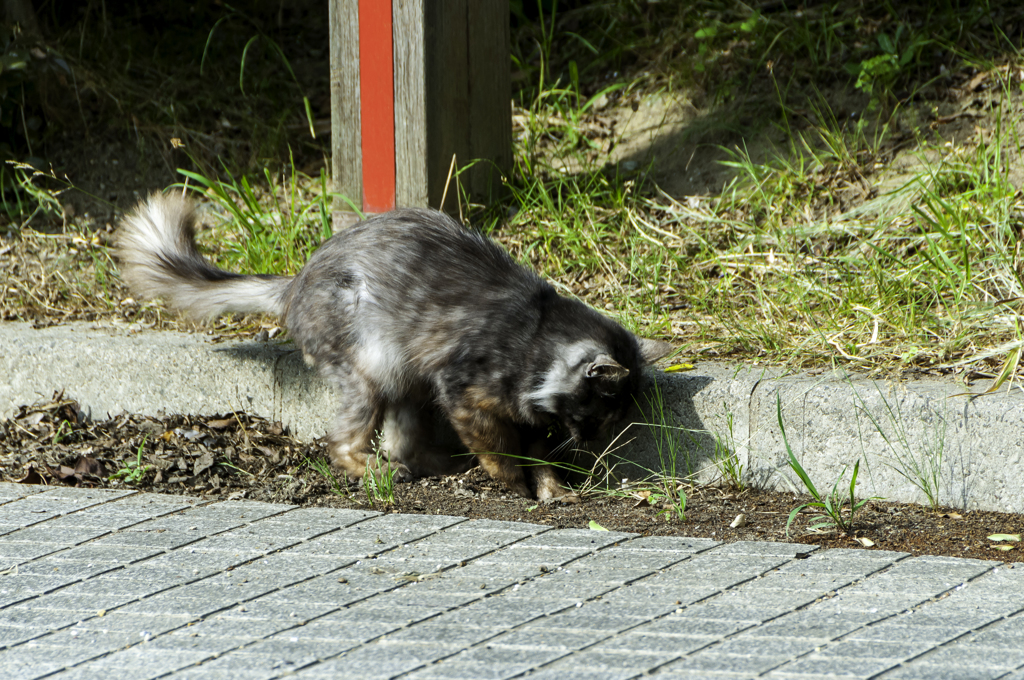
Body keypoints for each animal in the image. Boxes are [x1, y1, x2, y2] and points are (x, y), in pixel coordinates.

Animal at [119, 193, 671, 497]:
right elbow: (498, 446)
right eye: (599, 415)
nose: (592, 443)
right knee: (343, 442)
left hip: (406, 379)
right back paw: (373, 469)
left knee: (402, 443)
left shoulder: (528, 415)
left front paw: (553, 491)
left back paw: (438, 465)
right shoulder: (465, 393)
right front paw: (511, 482)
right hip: (368, 368)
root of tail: (295, 281)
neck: (537, 337)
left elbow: (538, 456)